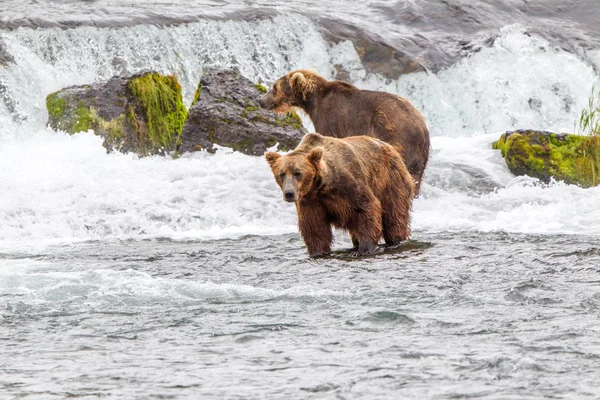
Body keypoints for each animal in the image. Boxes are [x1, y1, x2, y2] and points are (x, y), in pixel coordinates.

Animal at [258, 69, 432, 196]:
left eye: (274, 87)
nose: (260, 100)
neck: (313, 100)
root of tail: (421, 128)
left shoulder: (330, 118)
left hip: (393, 134)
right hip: (421, 156)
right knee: (416, 177)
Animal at [264, 131, 414, 256]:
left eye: (298, 173)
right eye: (281, 174)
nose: (289, 193)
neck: (322, 186)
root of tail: (391, 148)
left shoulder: (349, 186)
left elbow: (367, 209)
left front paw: (365, 248)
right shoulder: (310, 201)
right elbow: (314, 227)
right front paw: (318, 252)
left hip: (391, 181)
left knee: (394, 217)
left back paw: (396, 241)